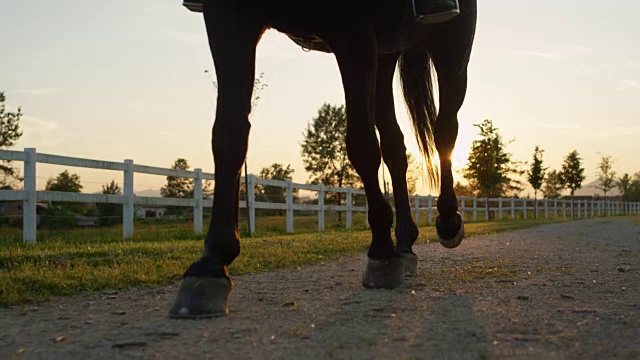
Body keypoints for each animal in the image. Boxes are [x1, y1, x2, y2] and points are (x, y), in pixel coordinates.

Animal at [169, 0, 476, 318]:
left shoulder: (353, 31)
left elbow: (362, 144)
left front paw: (381, 250)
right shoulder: (227, 15)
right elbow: (229, 134)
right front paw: (212, 263)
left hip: (452, 47)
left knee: (445, 131)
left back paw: (448, 221)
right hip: (385, 55)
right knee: (395, 146)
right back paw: (405, 244)